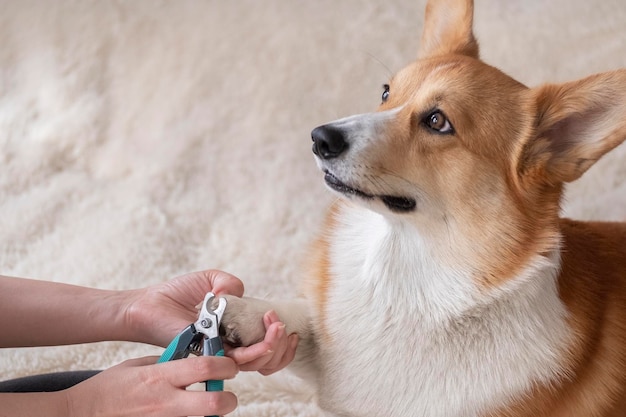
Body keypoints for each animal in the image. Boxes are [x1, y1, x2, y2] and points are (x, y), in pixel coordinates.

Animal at [219, 0, 624, 414]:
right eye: (386, 93)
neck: (407, 271)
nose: (319, 138)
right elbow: (304, 319)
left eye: (437, 121)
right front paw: (240, 310)